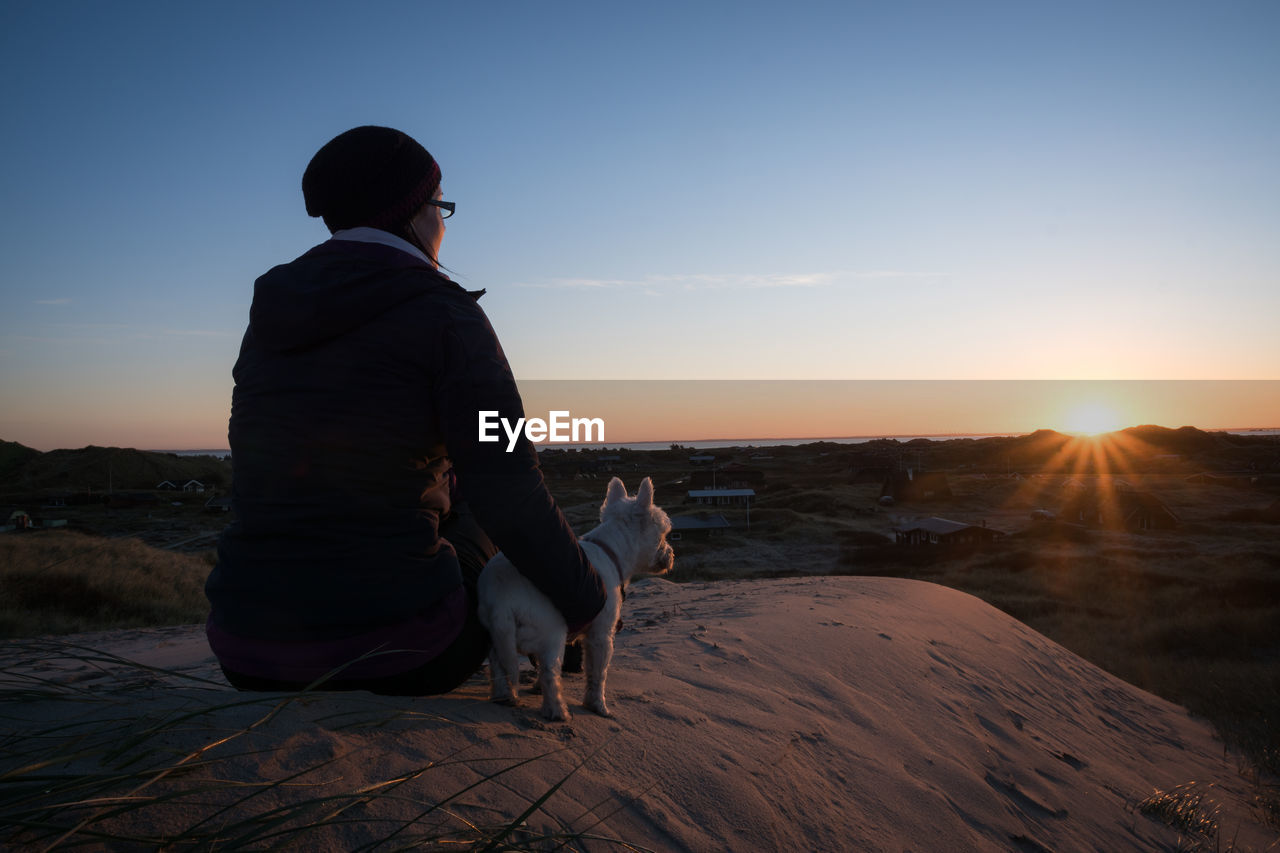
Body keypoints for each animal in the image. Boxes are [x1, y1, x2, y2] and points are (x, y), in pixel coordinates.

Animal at [481, 473, 675, 722]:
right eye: (663, 534)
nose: (671, 554)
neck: (611, 551)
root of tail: (501, 596)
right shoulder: (601, 634)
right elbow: (597, 673)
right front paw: (598, 706)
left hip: (497, 633)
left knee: (498, 664)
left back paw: (504, 697)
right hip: (551, 633)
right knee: (550, 672)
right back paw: (557, 712)